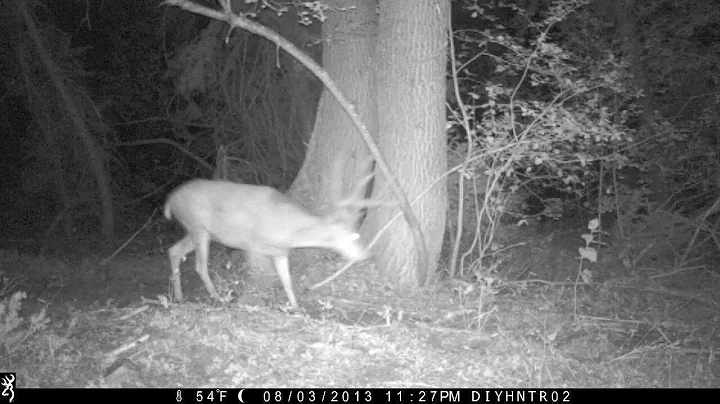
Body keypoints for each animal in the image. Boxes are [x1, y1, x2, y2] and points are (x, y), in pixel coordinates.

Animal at [162, 171, 374, 308]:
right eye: (351, 237)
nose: (365, 254)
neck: (287, 230)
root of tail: (169, 201)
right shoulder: (252, 245)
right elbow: (261, 276)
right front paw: (252, 300)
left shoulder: (281, 252)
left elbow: (287, 281)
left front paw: (295, 307)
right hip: (198, 227)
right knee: (199, 265)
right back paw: (218, 297)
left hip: (195, 231)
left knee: (173, 251)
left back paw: (179, 297)